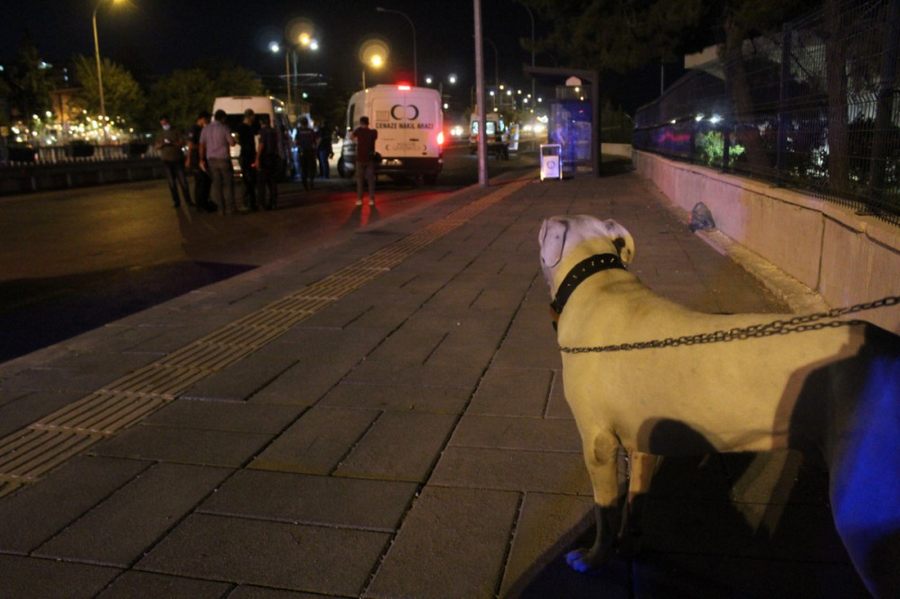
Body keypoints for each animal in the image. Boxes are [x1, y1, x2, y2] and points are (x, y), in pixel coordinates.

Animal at [536, 214, 896, 596]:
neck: (597, 281)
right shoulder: (643, 443)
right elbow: (635, 502)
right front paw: (630, 546)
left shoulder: (597, 442)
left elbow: (604, 512)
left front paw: (592, 559)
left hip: (867, 513)